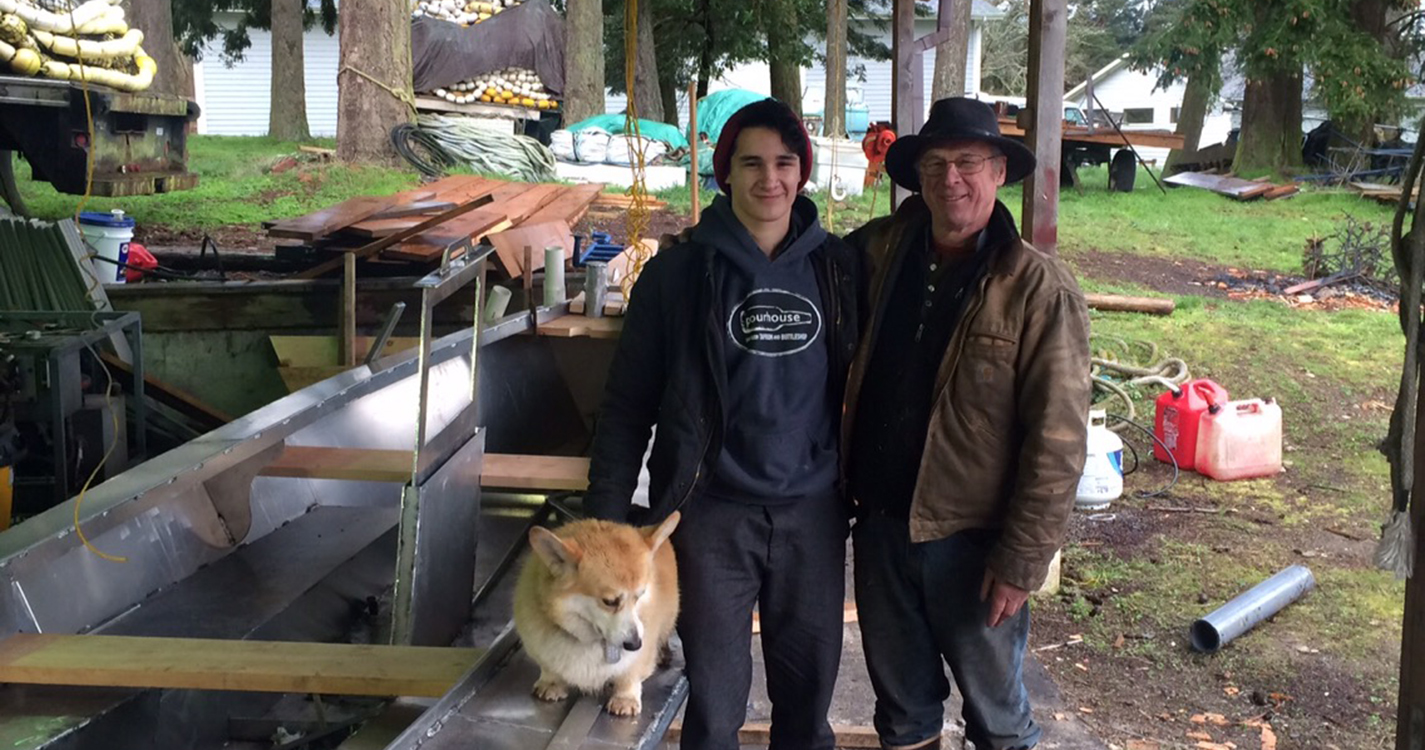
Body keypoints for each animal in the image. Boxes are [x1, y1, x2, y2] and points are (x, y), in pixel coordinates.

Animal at [515, 513, 681, 721]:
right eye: (609, 601)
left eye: (640, 595)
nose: (635, 645)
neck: (589, 640)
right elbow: (549, 668)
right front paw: (551, 684)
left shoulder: (641, 652)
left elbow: (630, 675)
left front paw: (625, 699)